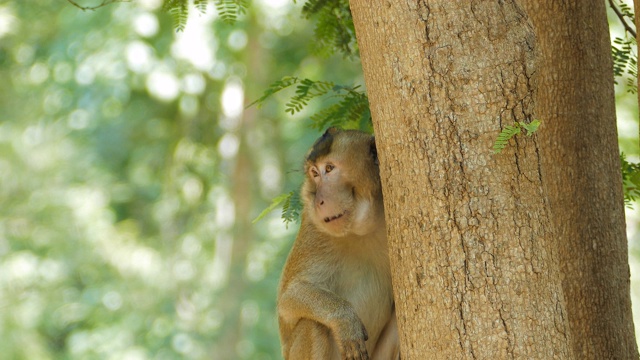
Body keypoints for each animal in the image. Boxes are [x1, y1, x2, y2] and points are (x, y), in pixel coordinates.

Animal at [276, 129, 398, 360]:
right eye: (314, 173)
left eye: (329, 169)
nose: (319, 201)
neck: (362, 229)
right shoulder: (314, 229)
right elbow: (288, 300)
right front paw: (343, 319)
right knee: (313, 325)